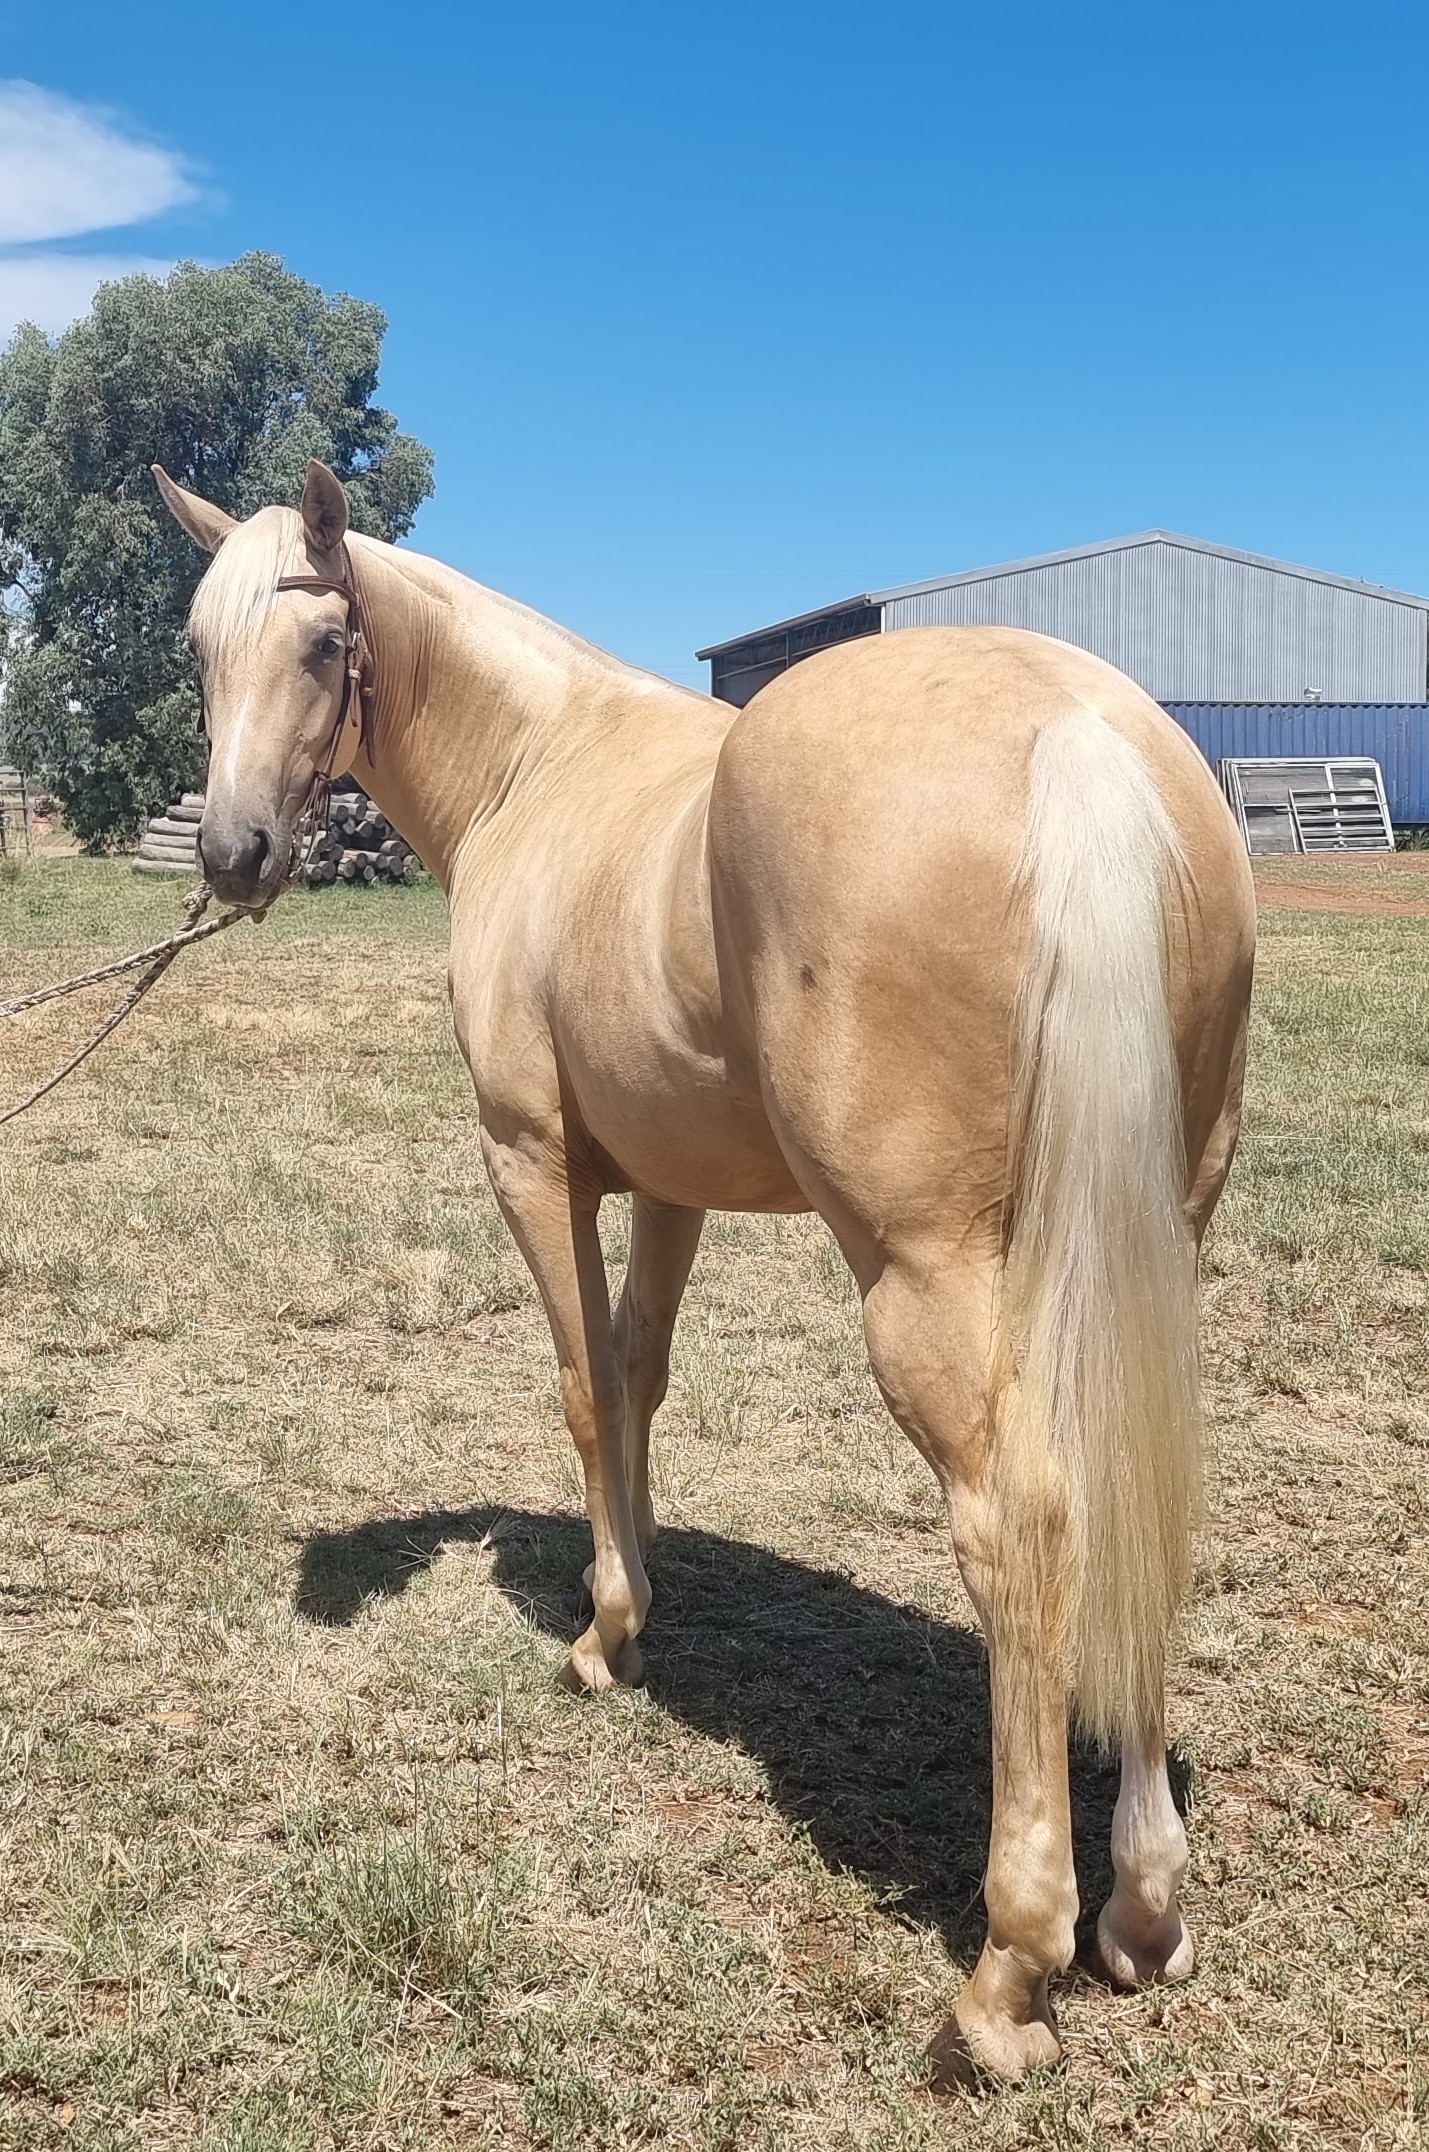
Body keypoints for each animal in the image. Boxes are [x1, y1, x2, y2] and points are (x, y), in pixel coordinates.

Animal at [153, 458, 1255, 2081]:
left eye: (321, 643)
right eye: (198, 650)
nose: (231, 856)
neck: (537, 765)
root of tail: (1082, 734)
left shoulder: (532, 1161)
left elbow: (580, 1383)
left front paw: (605, 1632)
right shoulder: (666, 1185)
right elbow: (642, 1369)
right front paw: (643, 1576)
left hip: (927, 1281)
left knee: (1027, 1526)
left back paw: (1011, 1969)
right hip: (1141, 1247)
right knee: (1124, 1492)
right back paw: (1142, 1908)